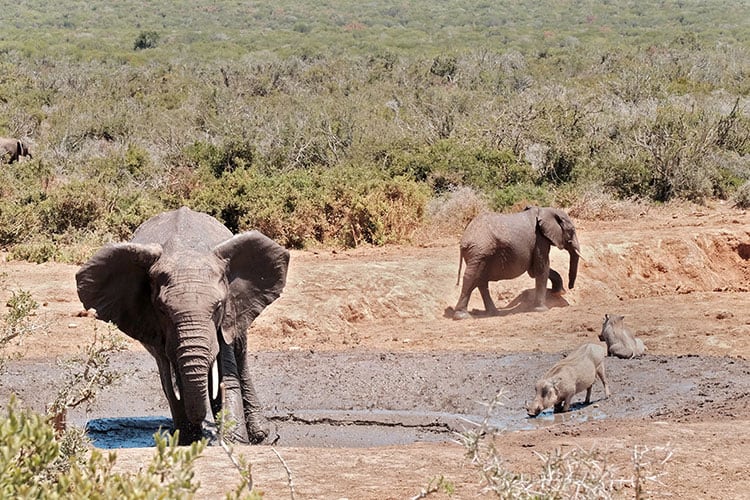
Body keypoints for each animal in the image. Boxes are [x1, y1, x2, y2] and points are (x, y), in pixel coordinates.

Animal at [75, 207, 290, 446]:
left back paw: (260, 435)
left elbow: (226, 372)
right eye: (161, 309)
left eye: (219, 306)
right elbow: (171, 382)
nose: (204, 424)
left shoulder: (227, 314)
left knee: (240, 355)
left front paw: (234, 443)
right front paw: (188, 443)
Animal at [452, 206, 580, 320]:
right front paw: (542, 309)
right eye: (572, 231)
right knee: (472, 277)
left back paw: (494, 313)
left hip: (480, 254)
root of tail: (464, 240)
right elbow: (541, 268)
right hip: (479, 251)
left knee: (480, 280)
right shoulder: (539, 239)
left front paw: (559, 292)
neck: (545, 210)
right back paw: (462, 316)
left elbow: (534, 270)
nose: (570, 287)